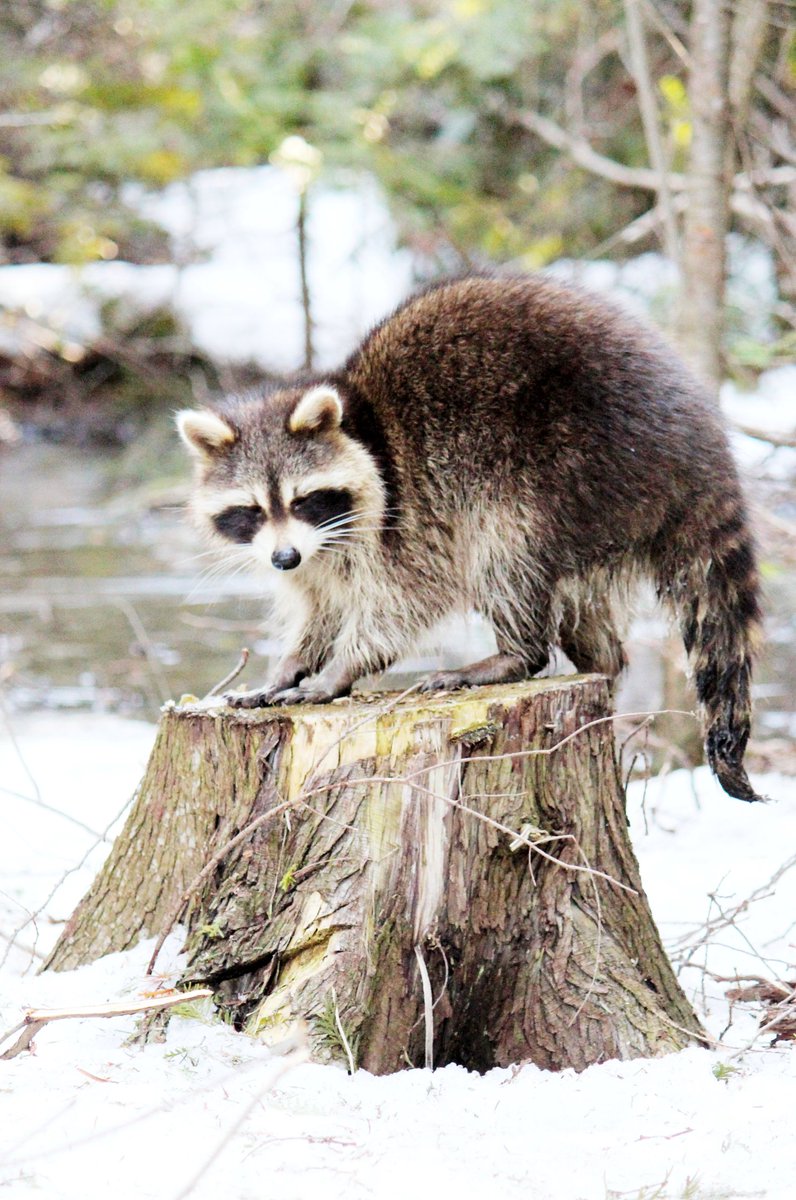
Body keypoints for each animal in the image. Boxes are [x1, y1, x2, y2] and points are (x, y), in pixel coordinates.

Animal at [177, 273, 763, 803]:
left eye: (303, 499)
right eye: (252, 509)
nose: (283, 557)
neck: (360, 428)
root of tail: (699, 447)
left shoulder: (408, 515)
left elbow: (406, 600)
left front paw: (342, 667)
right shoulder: (316, 555)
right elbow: (322, 605)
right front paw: (290, 665)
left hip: (567, 468)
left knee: (503, 550)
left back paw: (515, 655)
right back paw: (599, 664)